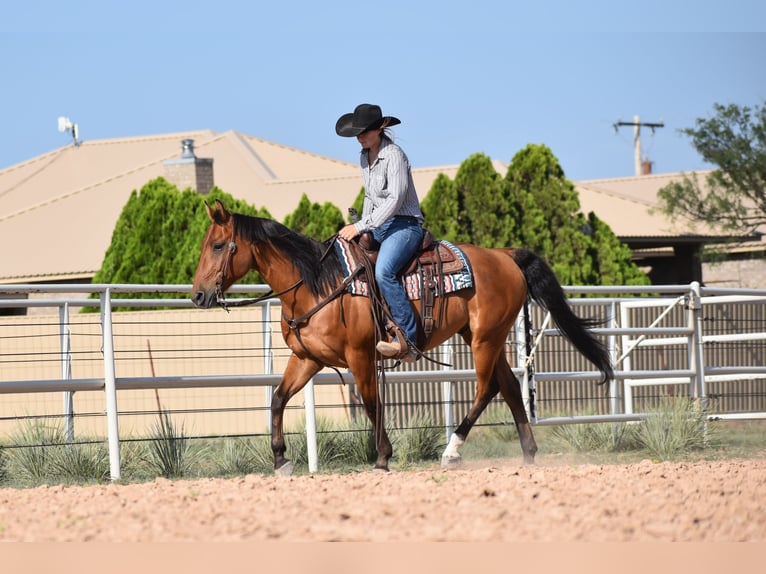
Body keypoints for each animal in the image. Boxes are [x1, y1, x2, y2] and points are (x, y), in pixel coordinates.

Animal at [192, 199, 613, 475]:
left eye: (218, 245)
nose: (197, 295)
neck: (317, 283)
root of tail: (504, 255)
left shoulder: (360, 355)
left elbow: (371, 404)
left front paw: (382, 457)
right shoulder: (309, 358)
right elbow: (278, 399)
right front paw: (281, 459)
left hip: (485, 338)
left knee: (486, 389)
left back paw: (452, 452)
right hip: (482, 336)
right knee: (508, 386)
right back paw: (528, 454)